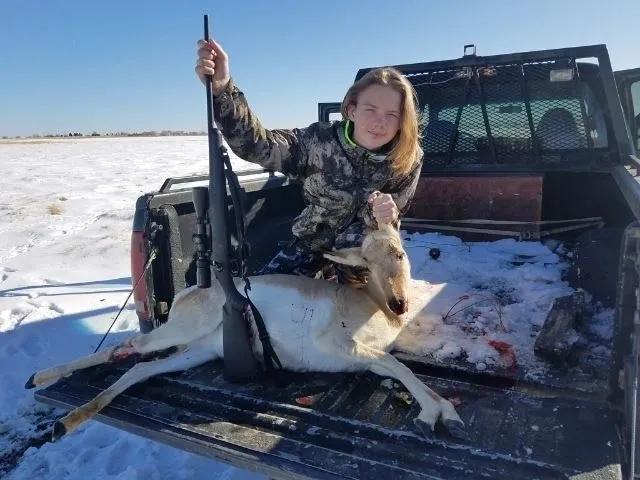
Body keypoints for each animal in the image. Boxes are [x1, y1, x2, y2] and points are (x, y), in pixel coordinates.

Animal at [25, 221, 464, 442]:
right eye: (367, 262)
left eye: (400, 253)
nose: (399, 304)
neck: (367, 305)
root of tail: (193, 291)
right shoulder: (346, 348)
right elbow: (399, 365)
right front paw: (438, 412)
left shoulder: (364, 358)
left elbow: (397, 367)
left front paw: (442, 410)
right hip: (179, 333)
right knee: (132, 345)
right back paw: (39, 380)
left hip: (197, 351)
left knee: (138, 366)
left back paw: (64, 419)